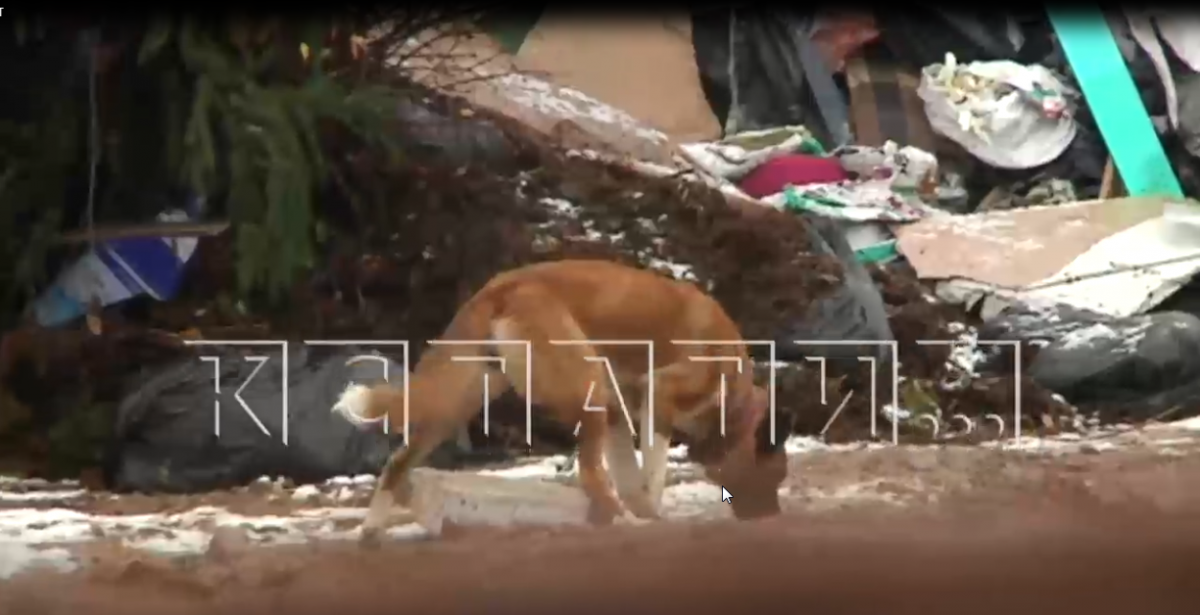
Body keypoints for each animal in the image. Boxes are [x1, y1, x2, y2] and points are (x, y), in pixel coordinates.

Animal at [333, 259, 782, 542]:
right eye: (774, 475)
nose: (774, 517)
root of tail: (499, 288)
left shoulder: (621, 412)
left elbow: (632, 478)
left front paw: (647, 511)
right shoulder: (657, 397)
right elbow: (649, 475)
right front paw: (652, 516)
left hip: (455, 402)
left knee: (397, 461)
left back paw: (371, 529)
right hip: (588, 387)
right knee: (591, 476)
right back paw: (625, 525)